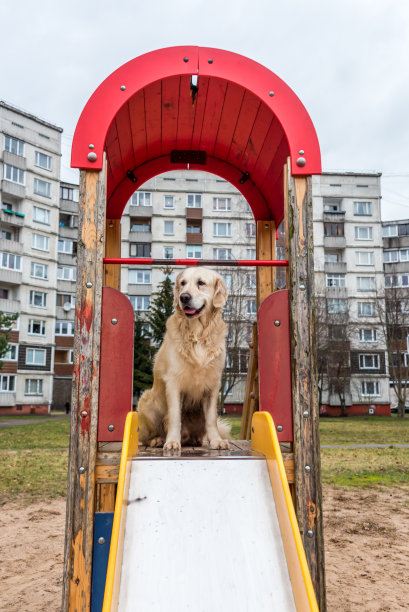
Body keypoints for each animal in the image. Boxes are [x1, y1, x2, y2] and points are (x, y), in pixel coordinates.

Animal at [138, 268, 230, 454]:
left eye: (201, 283)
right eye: (182, 283)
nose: (184, 297)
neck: (197, 334)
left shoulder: (212, 385)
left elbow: (212, 419)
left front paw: (217, 441)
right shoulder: (173, 382)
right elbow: (174, 416)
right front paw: (172, 442)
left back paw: (196, 440)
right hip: (147, 401)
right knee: (146, 437)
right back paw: (158, 440)